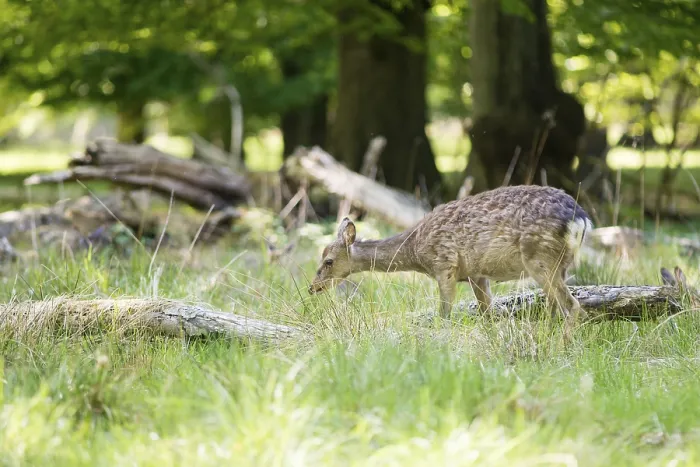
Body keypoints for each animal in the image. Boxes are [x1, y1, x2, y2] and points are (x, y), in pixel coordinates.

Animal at [308, 185, 593, 326]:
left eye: (328, 261)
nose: (312, 287)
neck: (416, 249)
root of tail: (580, 217)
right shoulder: (477, 274)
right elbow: (487, 315)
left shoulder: (444, 264)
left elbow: (444, 314)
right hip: (559, 264)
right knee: (557, 307)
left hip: (540, 258)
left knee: (573, 307)